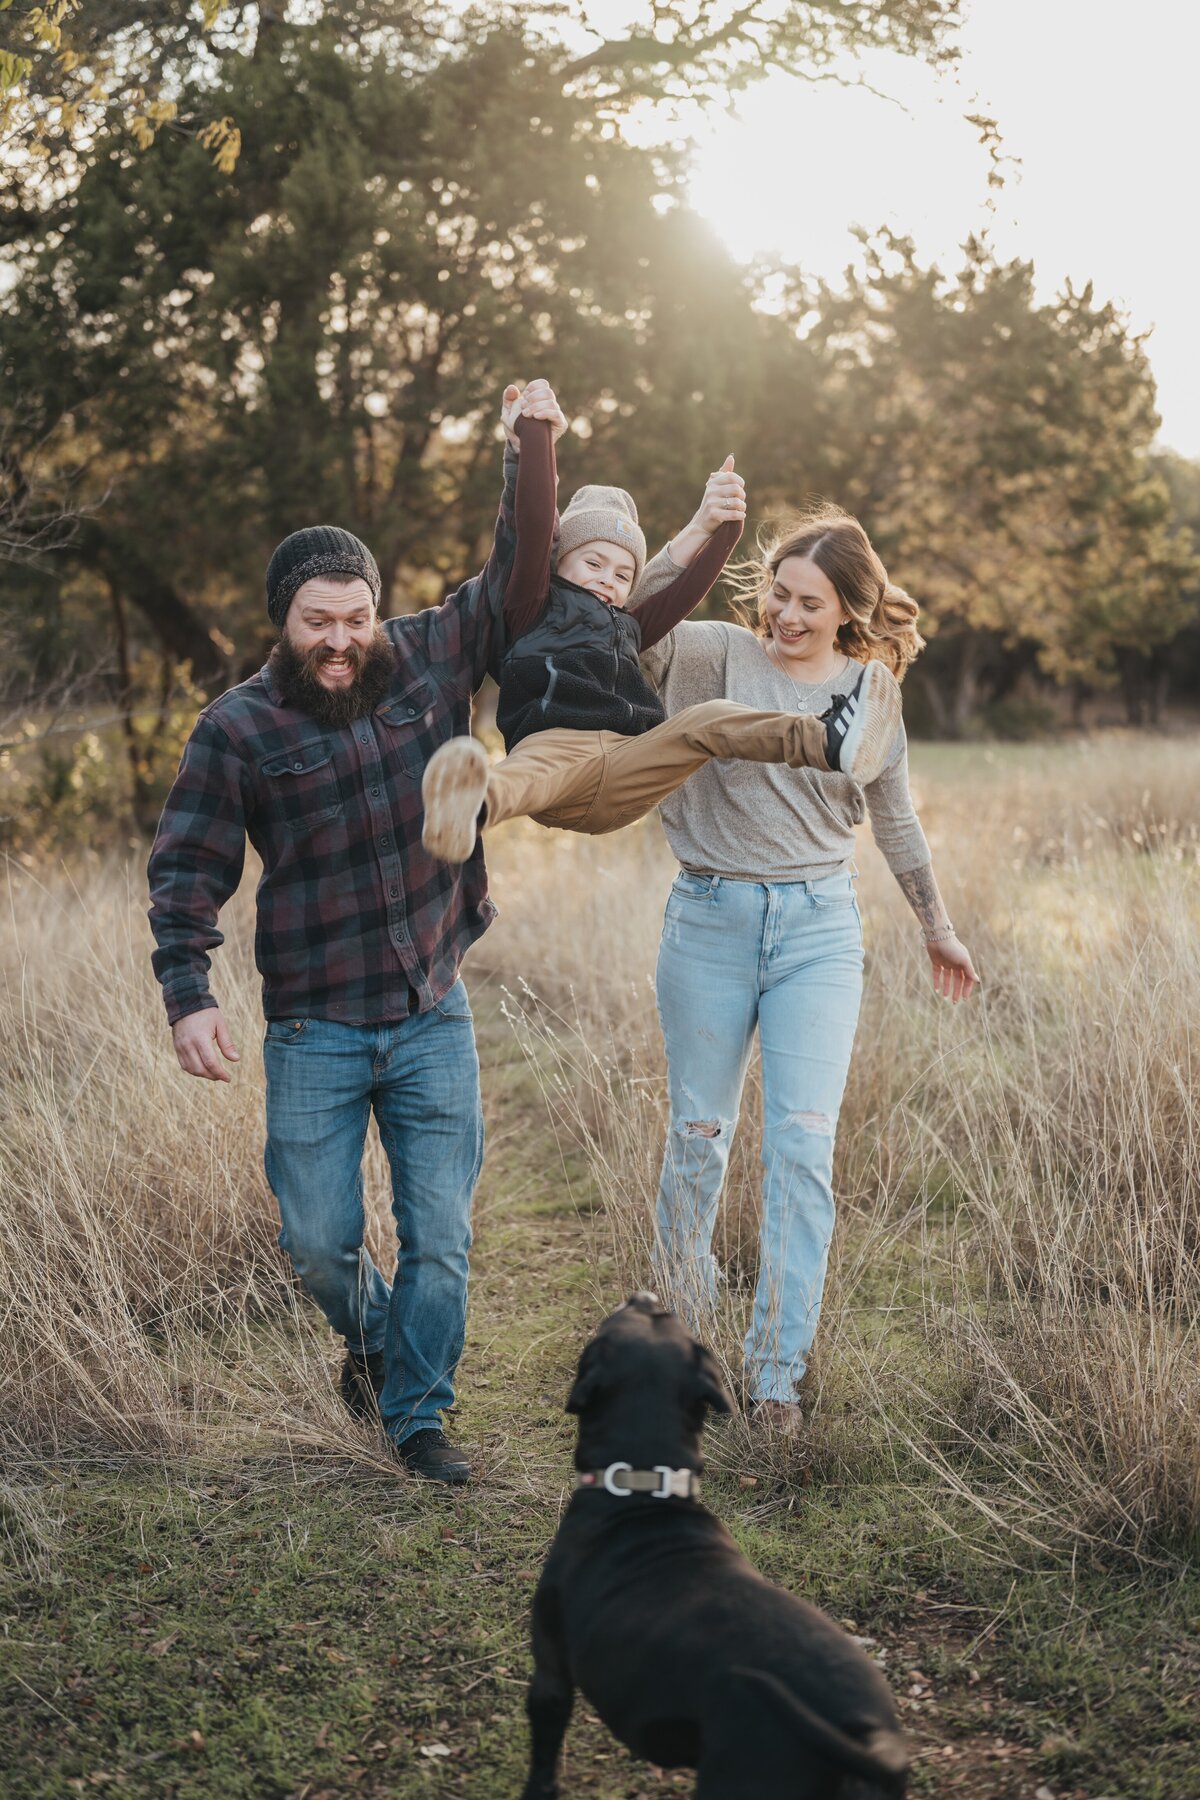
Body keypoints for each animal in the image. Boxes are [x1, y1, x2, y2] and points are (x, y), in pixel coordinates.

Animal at [521, 1296, 906, 1800]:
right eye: (664, 1319)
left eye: (616, 1322)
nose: (645, 1297)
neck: (647, 1485)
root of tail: (862, 1735)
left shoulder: (551, 1676)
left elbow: (544, 1761)